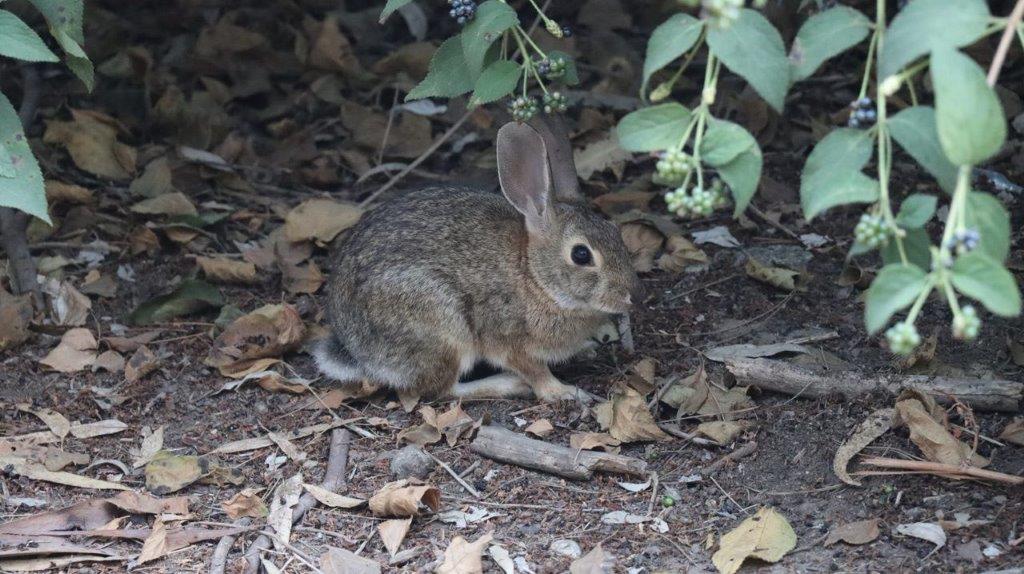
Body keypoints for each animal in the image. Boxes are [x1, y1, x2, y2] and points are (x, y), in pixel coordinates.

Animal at [315, 115, 638, 403]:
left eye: (615, 231)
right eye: (581, 254)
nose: (632, 296)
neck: (534, 276)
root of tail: (357, 352)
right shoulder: (508, 339)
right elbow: (534, 370)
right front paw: (563, 392)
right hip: (442, 327)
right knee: (439, 390)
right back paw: (508, 385)